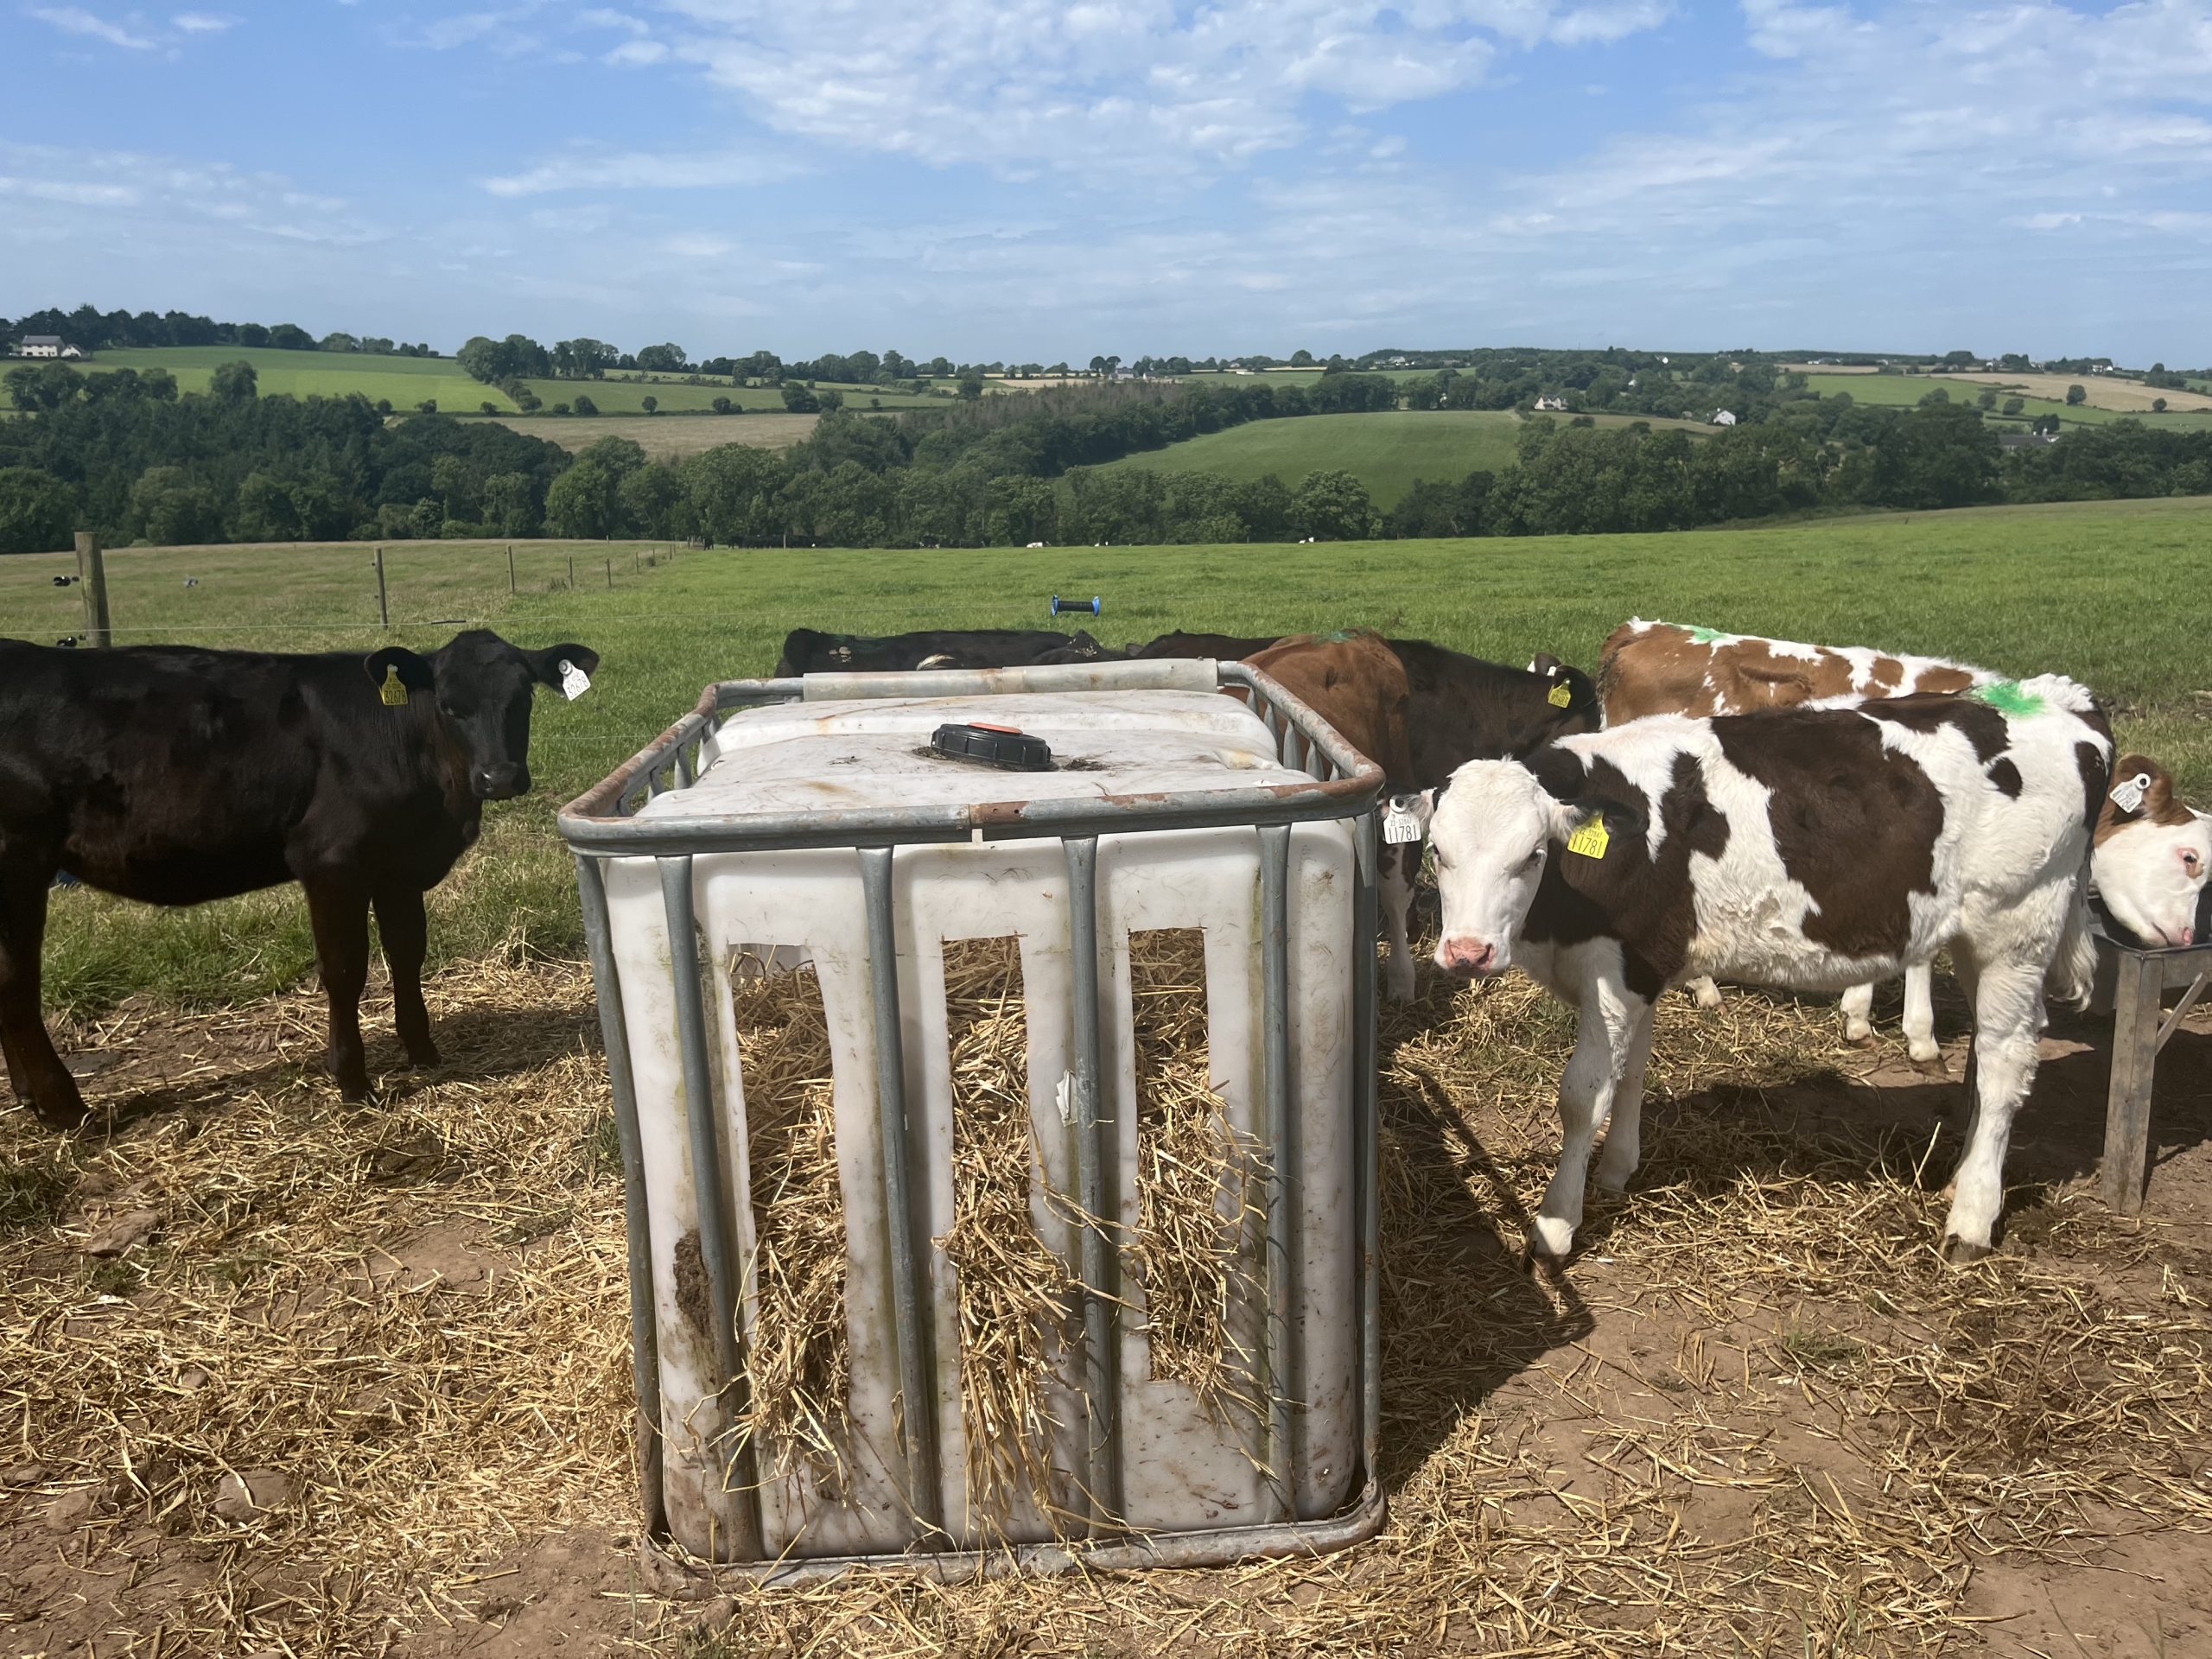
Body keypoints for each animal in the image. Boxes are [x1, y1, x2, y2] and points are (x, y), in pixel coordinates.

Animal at [0, 629, 596, 1130]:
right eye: (450, 706)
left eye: (523, 699)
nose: (501, 778)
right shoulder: (332, 864)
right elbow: (346, 971)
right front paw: (353, 1082)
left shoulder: (398, 867)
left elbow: (407, 955)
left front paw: (423, 1052)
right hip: (19, 859)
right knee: (16, 981)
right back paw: (63, 1106)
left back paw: (35, 1098)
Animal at [1406, 679, 2111, 1261]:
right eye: (1437, 851)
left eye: (1532, 854)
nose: (1467, 952)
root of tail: (2059, 699)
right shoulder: (1644, 970)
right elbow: (1632, 1072)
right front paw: (1617, 1170)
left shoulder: (1616, 968)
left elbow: (1583, 1096)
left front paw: (1555, 1226)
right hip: (1976, 940)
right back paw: (1961, 1182)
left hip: (2016, 930)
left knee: (2004, 1065)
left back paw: (1971, 1219)